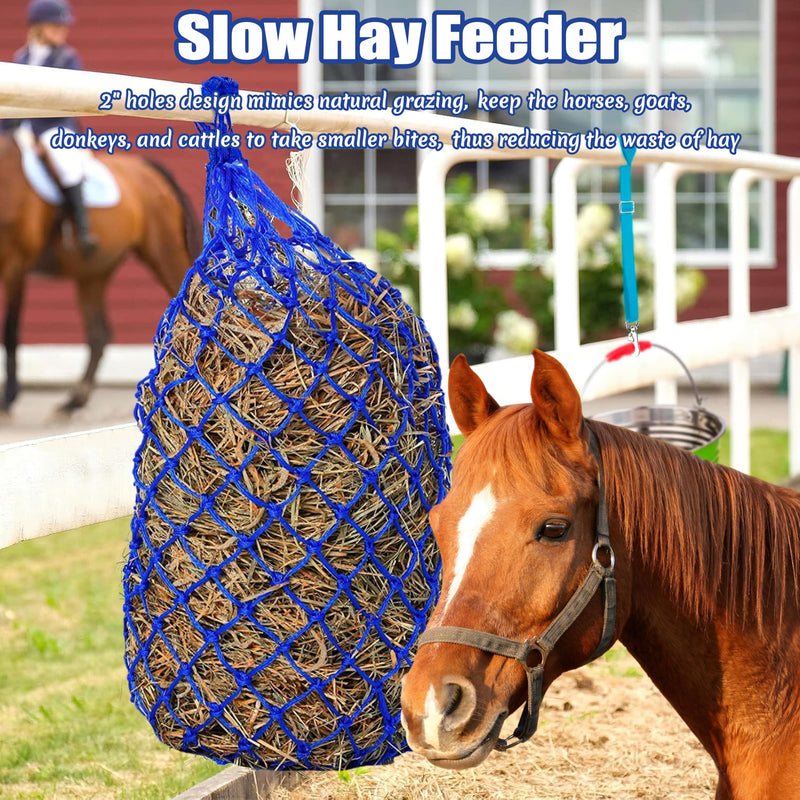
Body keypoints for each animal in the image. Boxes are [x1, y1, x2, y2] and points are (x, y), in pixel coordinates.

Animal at [0, 133, 200, 413]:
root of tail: (145, 168)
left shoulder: (15, 265)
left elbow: (10, 332)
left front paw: (8, 397)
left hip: (165, 252)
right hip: (93, 274)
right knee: (99, 333)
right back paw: (77, 398)